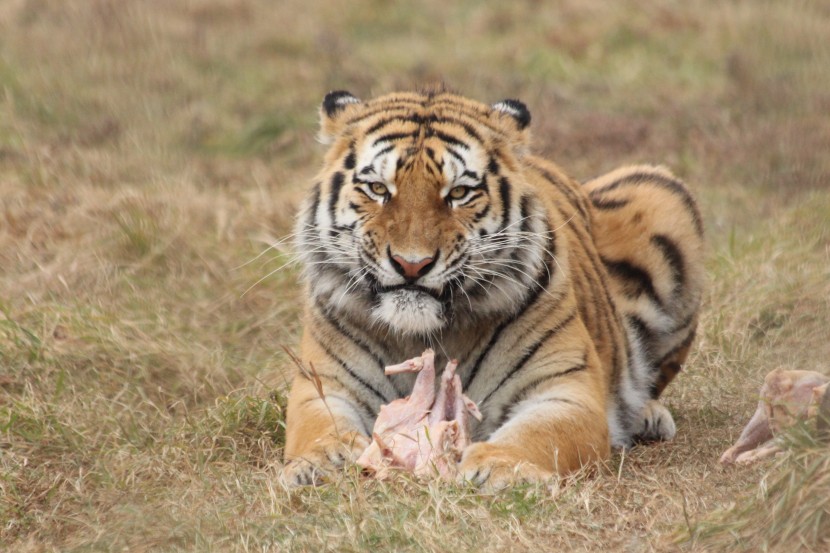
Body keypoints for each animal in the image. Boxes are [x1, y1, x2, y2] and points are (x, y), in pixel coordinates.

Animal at [282, 87, 704, 488]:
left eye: (458, 193)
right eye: (378, 188)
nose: (411, 264)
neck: (425, 336)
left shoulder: (566, 390)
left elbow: (539, 434)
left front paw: (501, 467)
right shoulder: (323, 383)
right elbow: (318, 427)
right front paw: (320, 462)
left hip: (663, 194)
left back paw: (647, 416)